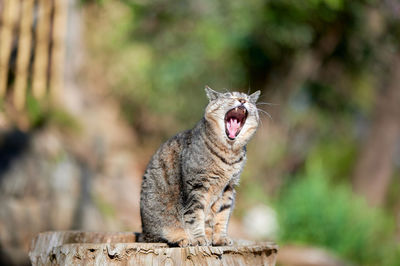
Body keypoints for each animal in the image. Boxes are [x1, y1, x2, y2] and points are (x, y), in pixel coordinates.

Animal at [139, 87, 260, 247]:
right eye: (229, 96)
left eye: (248, 99)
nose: (242, 100)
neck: (229, 154)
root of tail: (143, 232)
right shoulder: (197, 186)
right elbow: (195, 215)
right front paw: (199, 239)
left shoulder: (229, 188)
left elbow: (222, 215)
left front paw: (219, 238)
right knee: (159, 236)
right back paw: (183, 239)